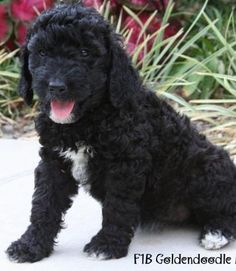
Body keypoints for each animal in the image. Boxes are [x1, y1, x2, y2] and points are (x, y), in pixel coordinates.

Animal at [6, 3, 236, 264]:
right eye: (43, 53)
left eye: (85, 52)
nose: (56, 86)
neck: (85, 122)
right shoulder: (54, 162)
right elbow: (44, 203)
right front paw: (30, 245)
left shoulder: (125, 165)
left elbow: (118, 206)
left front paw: (107, 244)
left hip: (206, 169)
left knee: (227, 209)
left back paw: (216, 233)